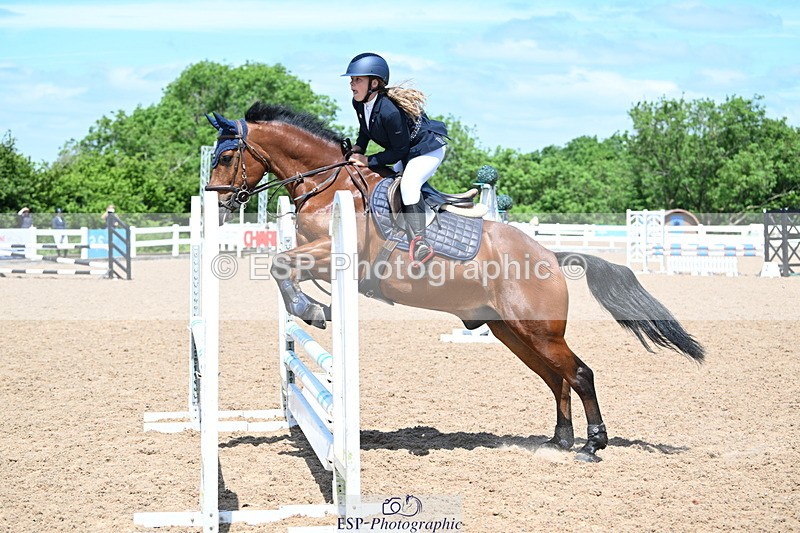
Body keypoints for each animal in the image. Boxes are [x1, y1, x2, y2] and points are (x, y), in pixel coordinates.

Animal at [205, 101, 704, 462]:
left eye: (227, 156)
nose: (218, 203)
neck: (328, 186)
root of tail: (550, 256)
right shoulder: (319, 256)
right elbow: (281, 264)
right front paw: (312, 307)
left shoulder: (336, 256)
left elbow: (280, 265)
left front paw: (312, 309)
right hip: (512, 331)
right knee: (555, 379)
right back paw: (559, 441)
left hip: (537, 330)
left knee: (579, 374)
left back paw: (592, 445)